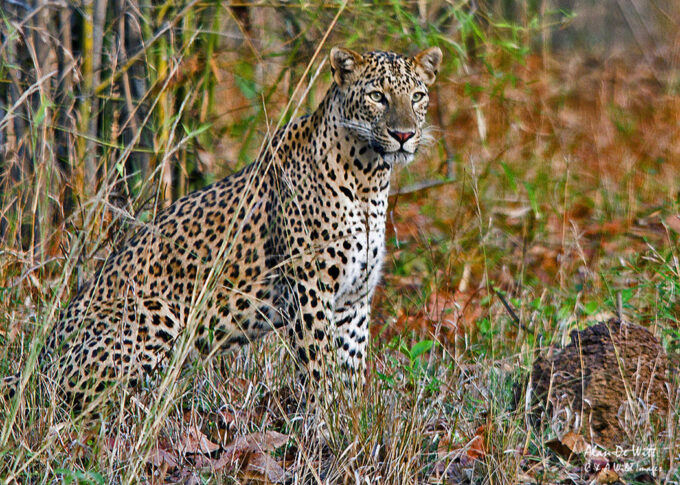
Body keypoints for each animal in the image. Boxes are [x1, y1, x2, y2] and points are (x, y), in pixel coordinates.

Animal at [6, 46, 442, 405]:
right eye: (377, 96)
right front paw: (325, 428)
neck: (370, 179)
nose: (404, 134)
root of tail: (39, 361)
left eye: (417, 97)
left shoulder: (353, 301)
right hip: (156, 313)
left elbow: (350, 371)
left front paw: (350, 427)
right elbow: (321, 370)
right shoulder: (310, 291)